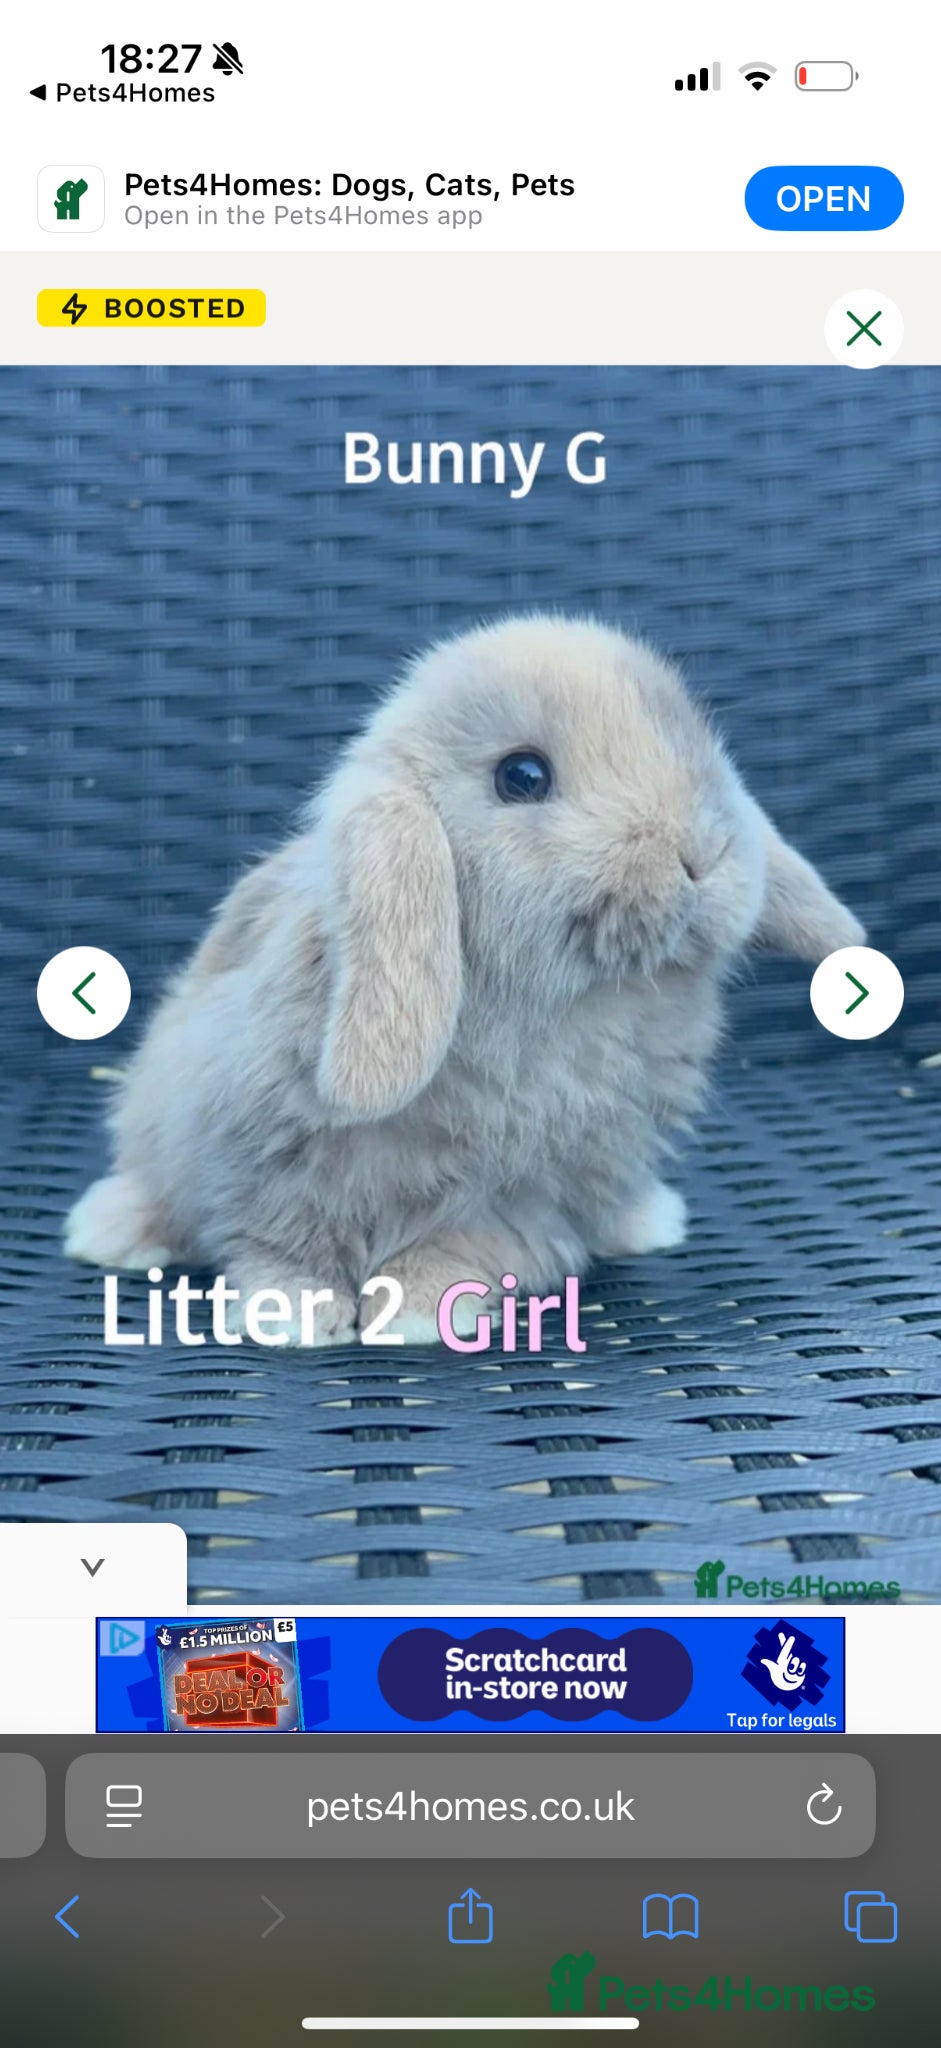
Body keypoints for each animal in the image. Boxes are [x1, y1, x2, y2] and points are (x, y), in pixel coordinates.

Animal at [66, 615, 865, 1344]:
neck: (565, 1007)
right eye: (522, 776)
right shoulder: (265, 1157)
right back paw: (109, 1230)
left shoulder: (529, 1193)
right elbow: (281, 1246)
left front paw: (419, 1308)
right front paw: (290, 1318)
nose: (700, 855)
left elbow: (469, 1248)